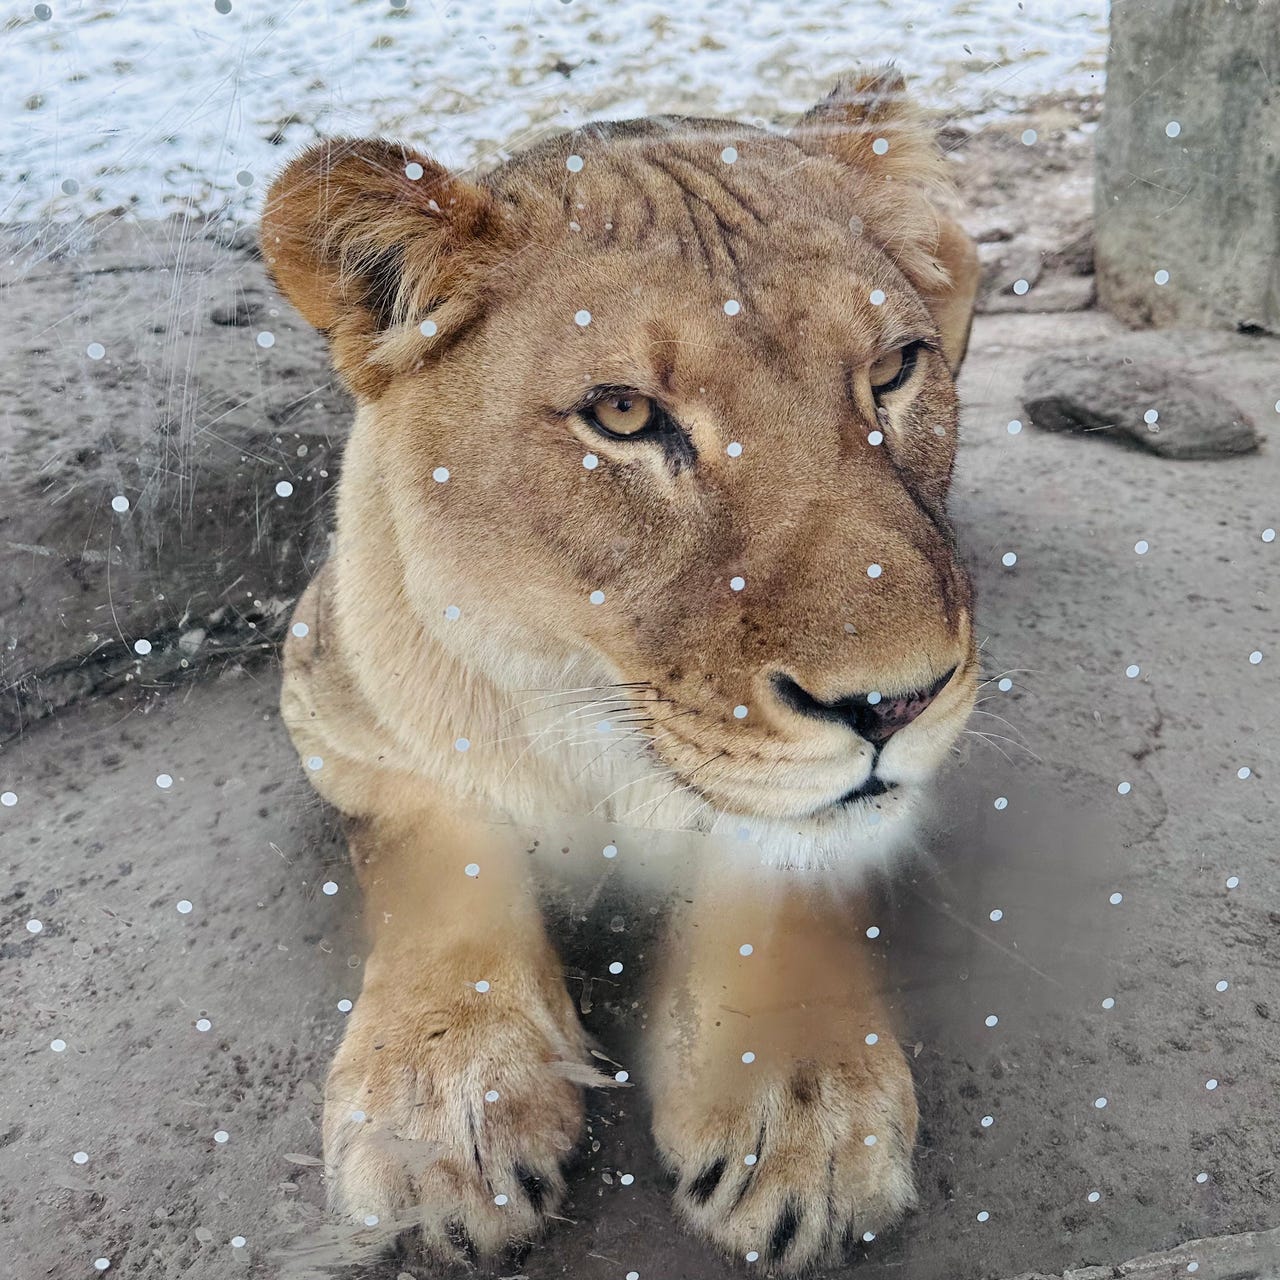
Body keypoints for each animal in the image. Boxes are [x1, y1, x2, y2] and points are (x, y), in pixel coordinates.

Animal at [260, 66, 980, 1273]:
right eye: (624, 414)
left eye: (891, 369)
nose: (898, 703)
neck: (593, 711)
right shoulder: (335, 711)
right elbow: (440, 850)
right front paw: (440, 1102)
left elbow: (786, 863)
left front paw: (802, 1106)